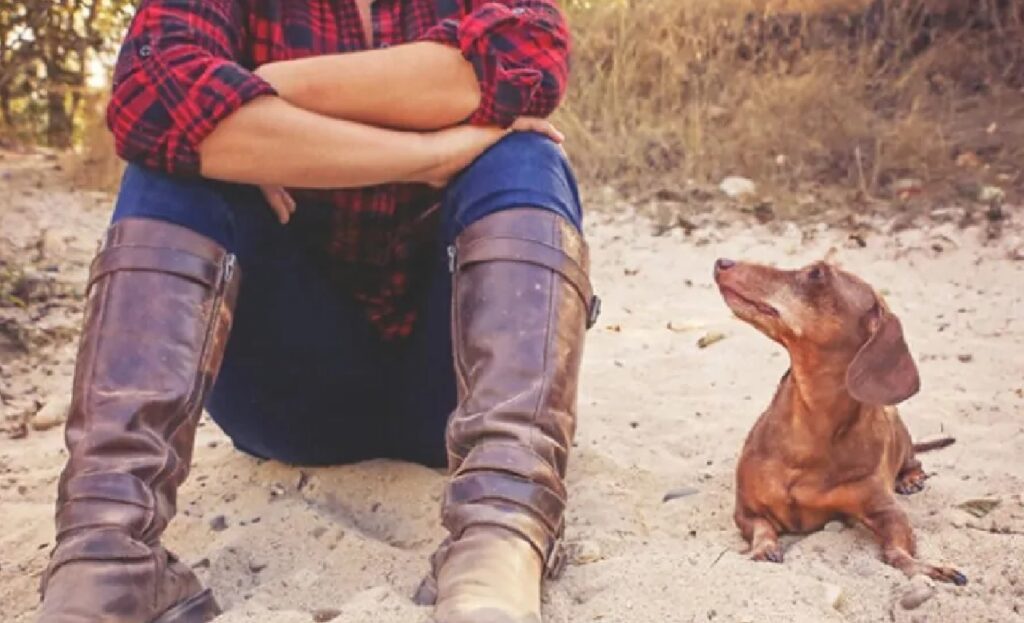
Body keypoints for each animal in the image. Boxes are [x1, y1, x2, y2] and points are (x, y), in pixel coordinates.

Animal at [716, 257, 962, 582]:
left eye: (816, 273)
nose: (722, 262)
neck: (809, 434)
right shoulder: (746, 510)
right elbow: (762, 528)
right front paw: (764, 549)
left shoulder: (886, 510)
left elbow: (898, 552)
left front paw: (924, 567)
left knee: (914, 462)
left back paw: (910, 478)